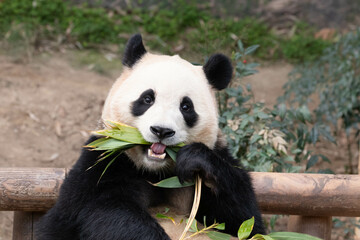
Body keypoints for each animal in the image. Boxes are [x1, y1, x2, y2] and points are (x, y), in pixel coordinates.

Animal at [35, 34, 264, 240]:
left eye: (186, 106)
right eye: (147, 98)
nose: (161, 131)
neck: (156, 173)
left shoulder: (216, 158)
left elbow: (244, 221)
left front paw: (196, 159)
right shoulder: (105, 161)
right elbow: (105, 210)